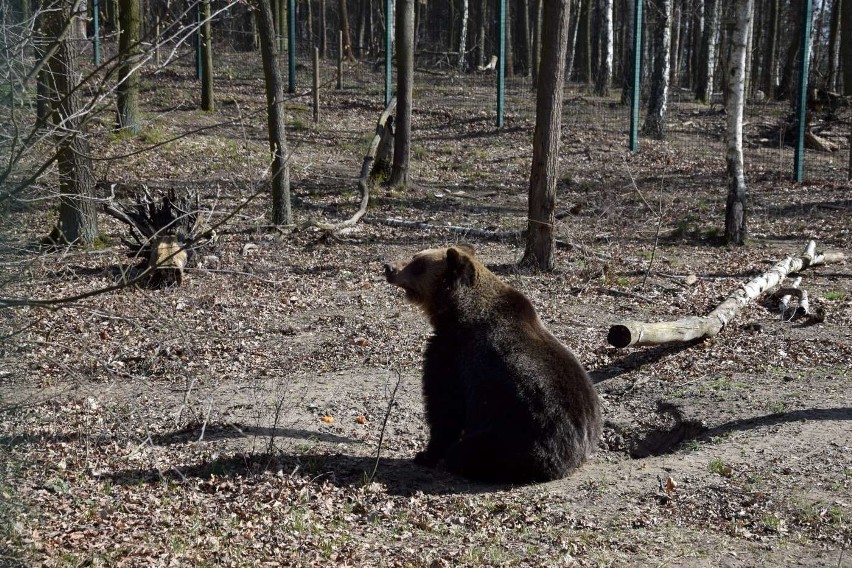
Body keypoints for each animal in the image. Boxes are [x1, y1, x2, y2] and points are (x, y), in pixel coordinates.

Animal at [382, 245, 604, 484]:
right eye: (415, 257)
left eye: (418, 265)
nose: (389, 267)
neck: (456, 313)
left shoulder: (454, 356)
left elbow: (444, 405)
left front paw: (425, 454)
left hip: (511, 435)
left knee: (468, 452)